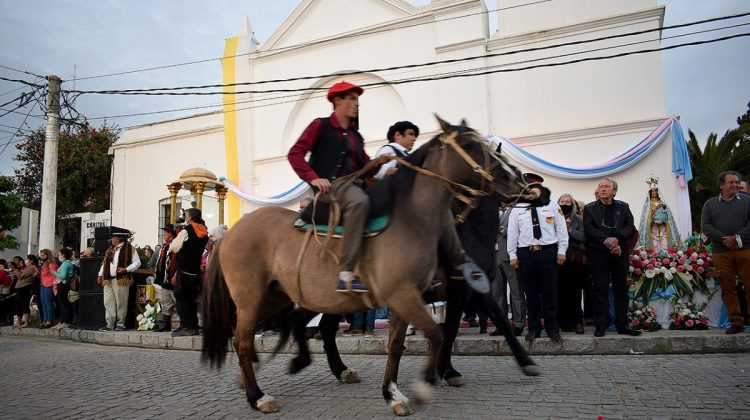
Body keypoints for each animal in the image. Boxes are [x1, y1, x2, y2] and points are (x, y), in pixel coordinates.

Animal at [200, 115, 540, 416]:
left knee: (289, 329)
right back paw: (258, 396)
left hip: (277, 296)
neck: (412, 219)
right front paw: (427, 384)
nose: (519, 182)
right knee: (244, 339)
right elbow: (441, 333)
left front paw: (394, 394)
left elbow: (398, 344)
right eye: (469, 145)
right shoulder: (418, 295)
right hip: (252, 297)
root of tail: (229, 234)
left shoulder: (418, 297)